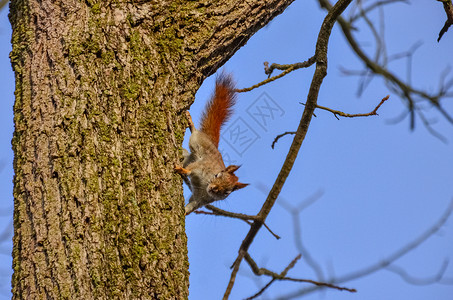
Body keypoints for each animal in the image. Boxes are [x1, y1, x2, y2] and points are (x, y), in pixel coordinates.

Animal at [176, 73, 247, 214]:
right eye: (217, 175)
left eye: (227, 192)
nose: (214, 188)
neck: (205, 183)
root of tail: (212, 141)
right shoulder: (201, 166)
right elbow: (191, 169)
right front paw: (181, 170)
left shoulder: (201, 199)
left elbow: (192, 205)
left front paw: (185, 213)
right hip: (196, 140)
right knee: (194, 132)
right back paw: (190, 122)